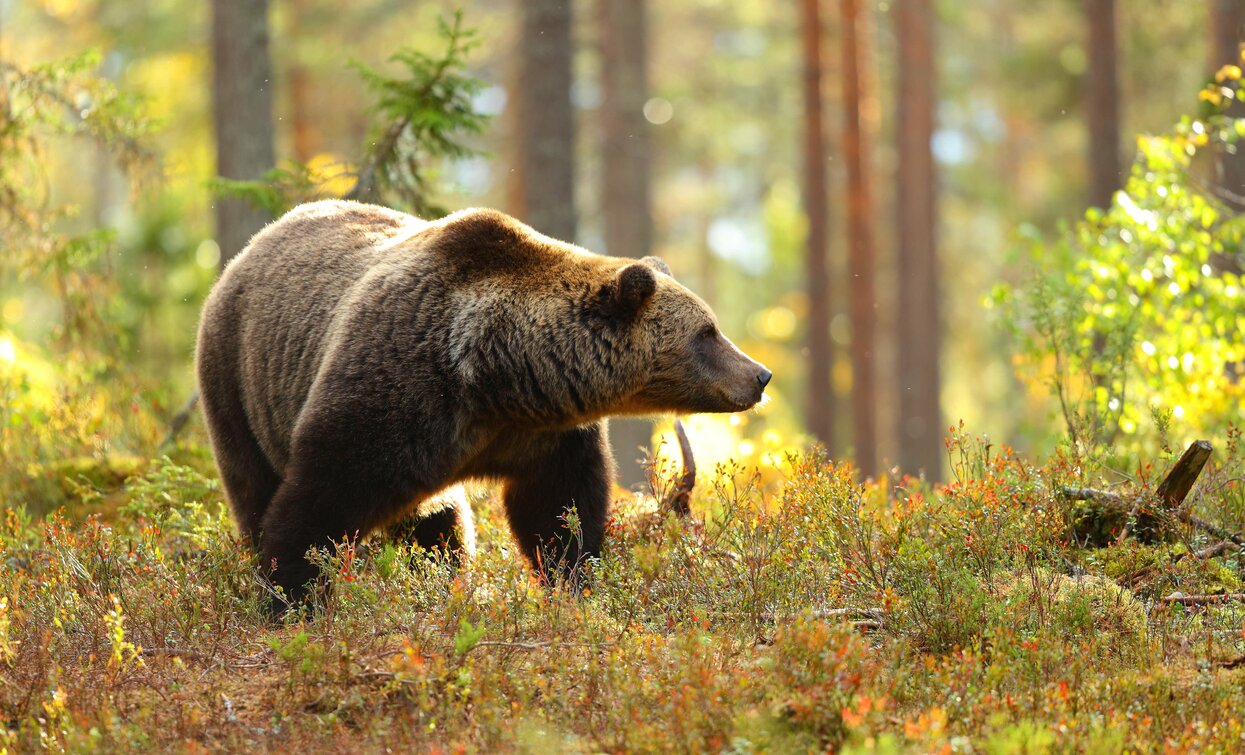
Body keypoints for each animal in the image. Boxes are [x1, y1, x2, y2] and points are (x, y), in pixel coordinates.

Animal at [196, 200, 771, 605]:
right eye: (707, 332)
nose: (760, 375)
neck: (496, 376)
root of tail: (250, 247)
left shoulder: (542, 435)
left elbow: (557, 510)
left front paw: (574, 580)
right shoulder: (394, 390)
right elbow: (321, 496)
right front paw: (293, 594)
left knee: (437, 523)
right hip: (238, 382)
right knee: (253, 483)